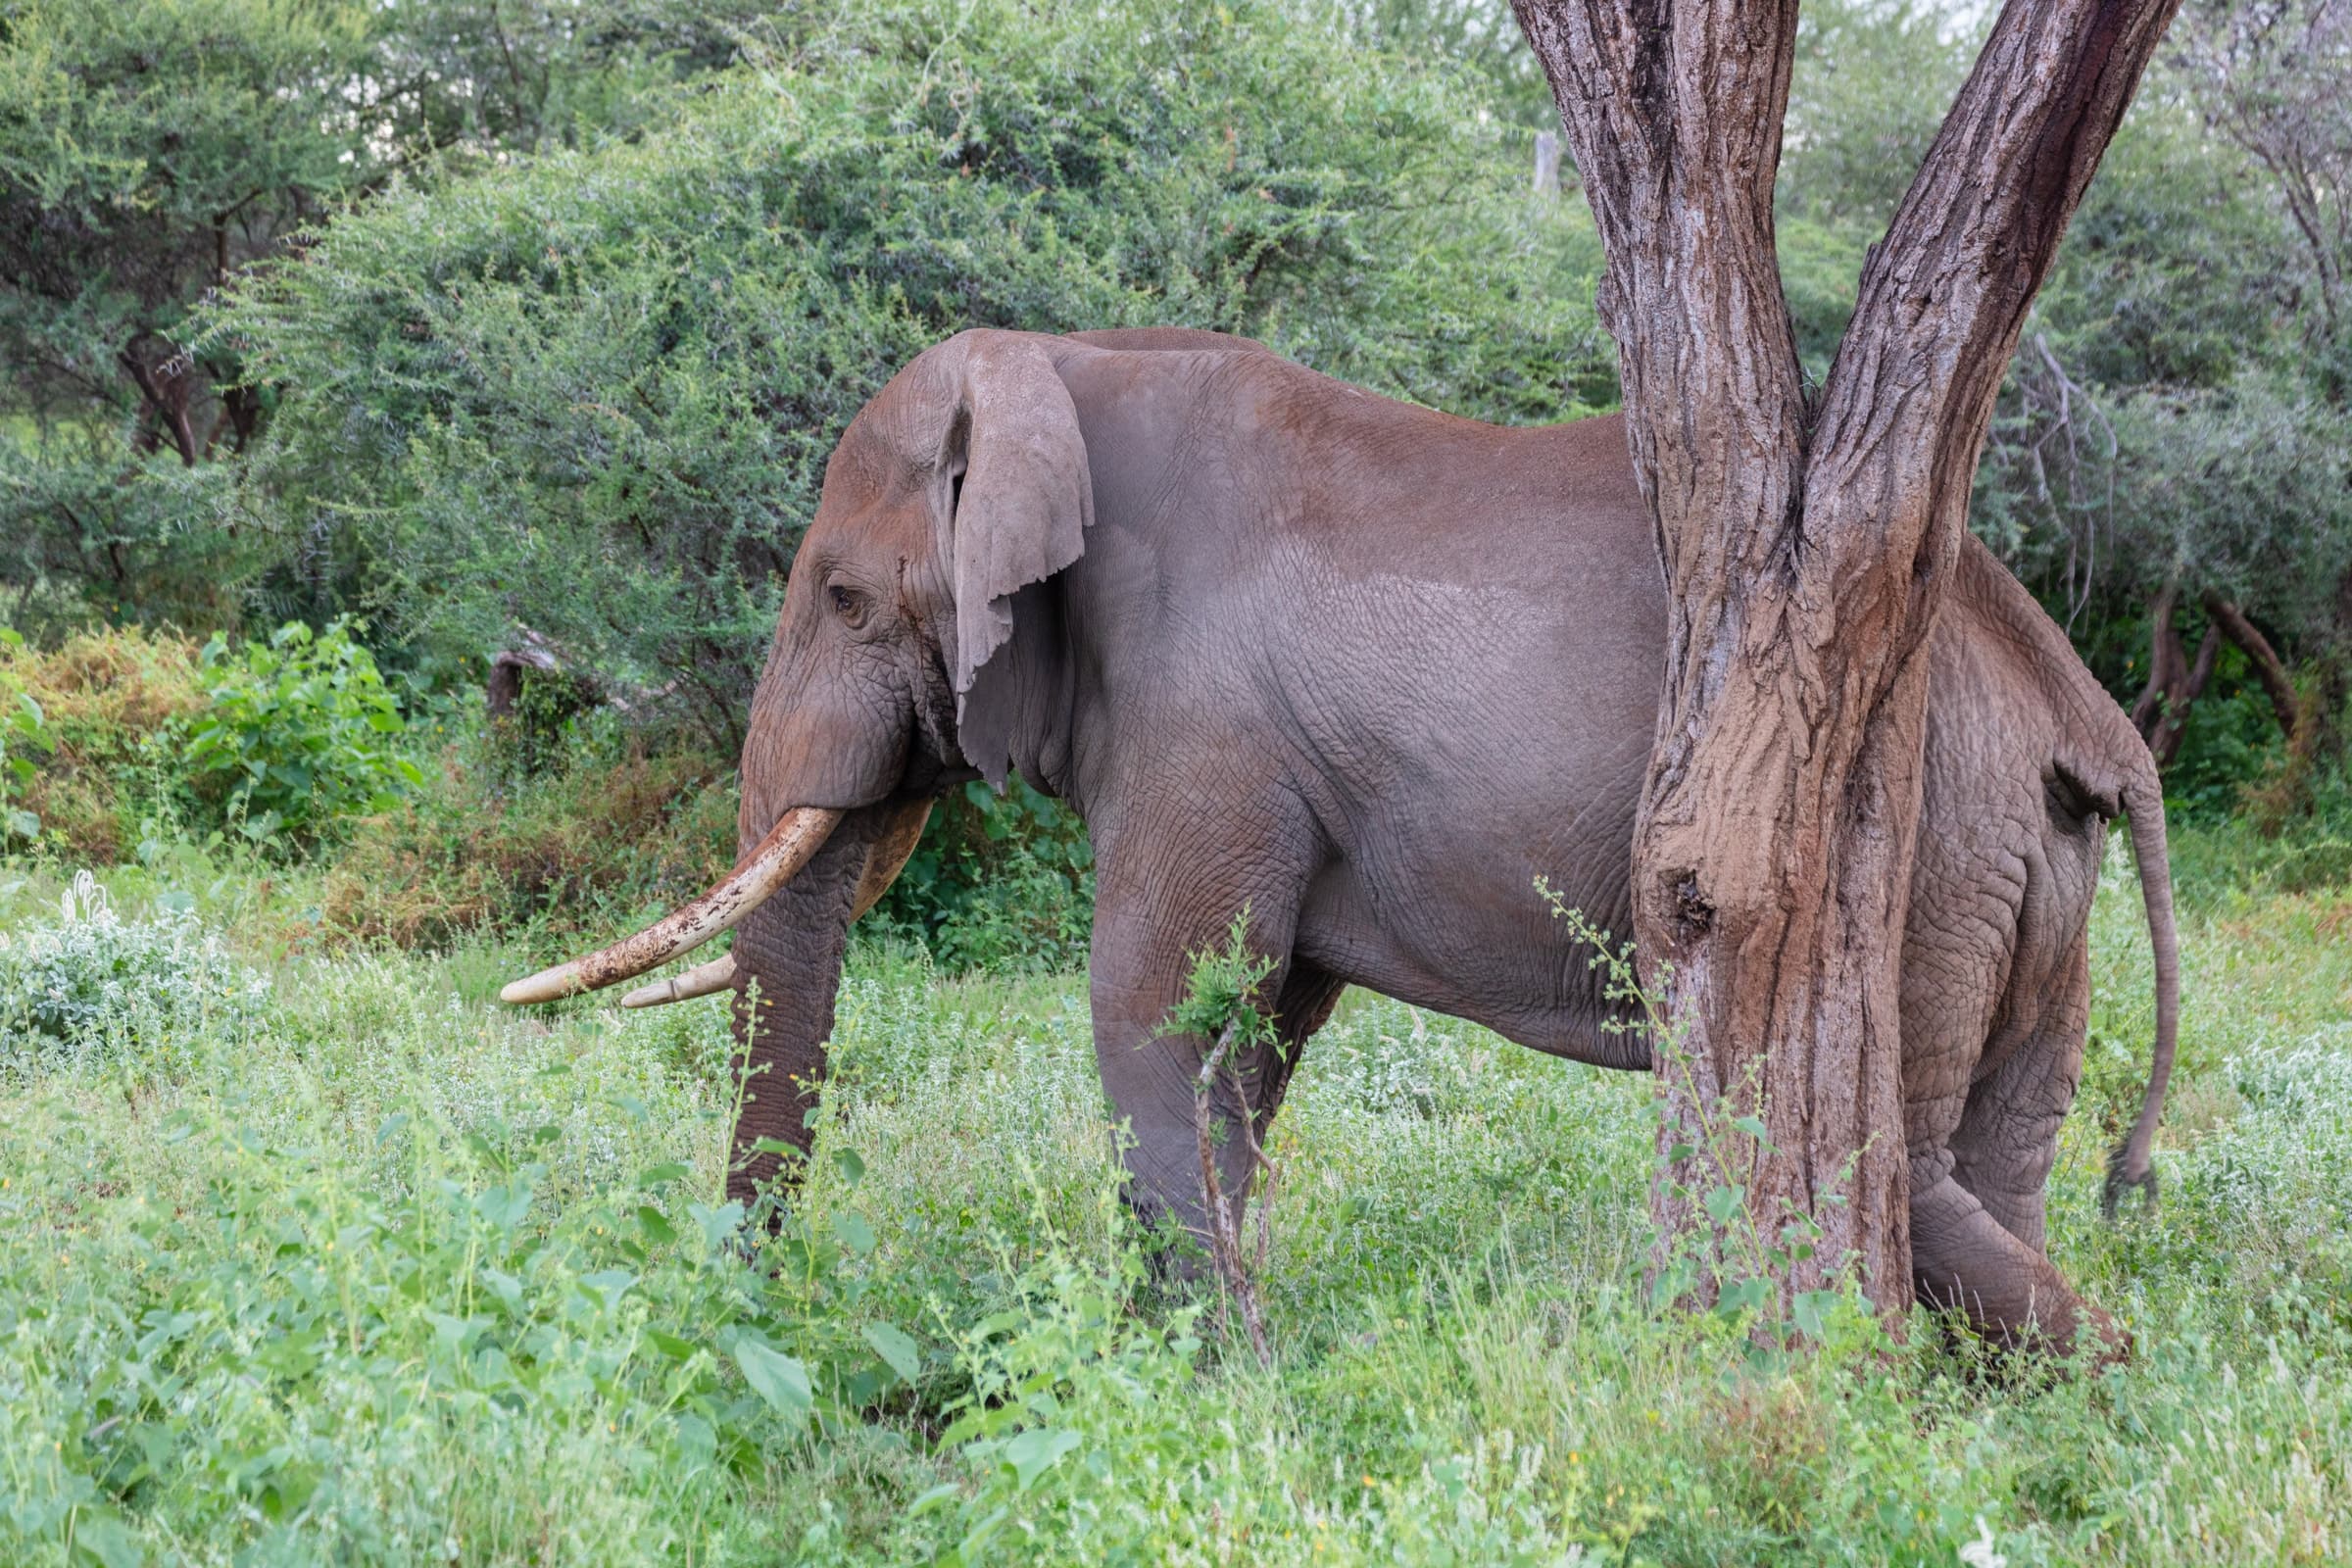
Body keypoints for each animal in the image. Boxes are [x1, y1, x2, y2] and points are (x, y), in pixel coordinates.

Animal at [504, 326, 2180, 1355]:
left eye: (846, 597)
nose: (751, 1309)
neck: (1066, 366)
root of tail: (2081, 712)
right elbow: (1248, 1047)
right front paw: (1204, 1362)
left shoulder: (1205, 727)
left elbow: (1151, 1013)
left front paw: (1211, 1387)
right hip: (2017, 863)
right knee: (1995, 1149)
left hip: (1910, 842)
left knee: (1894, 1155)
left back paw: (2096, 1373)